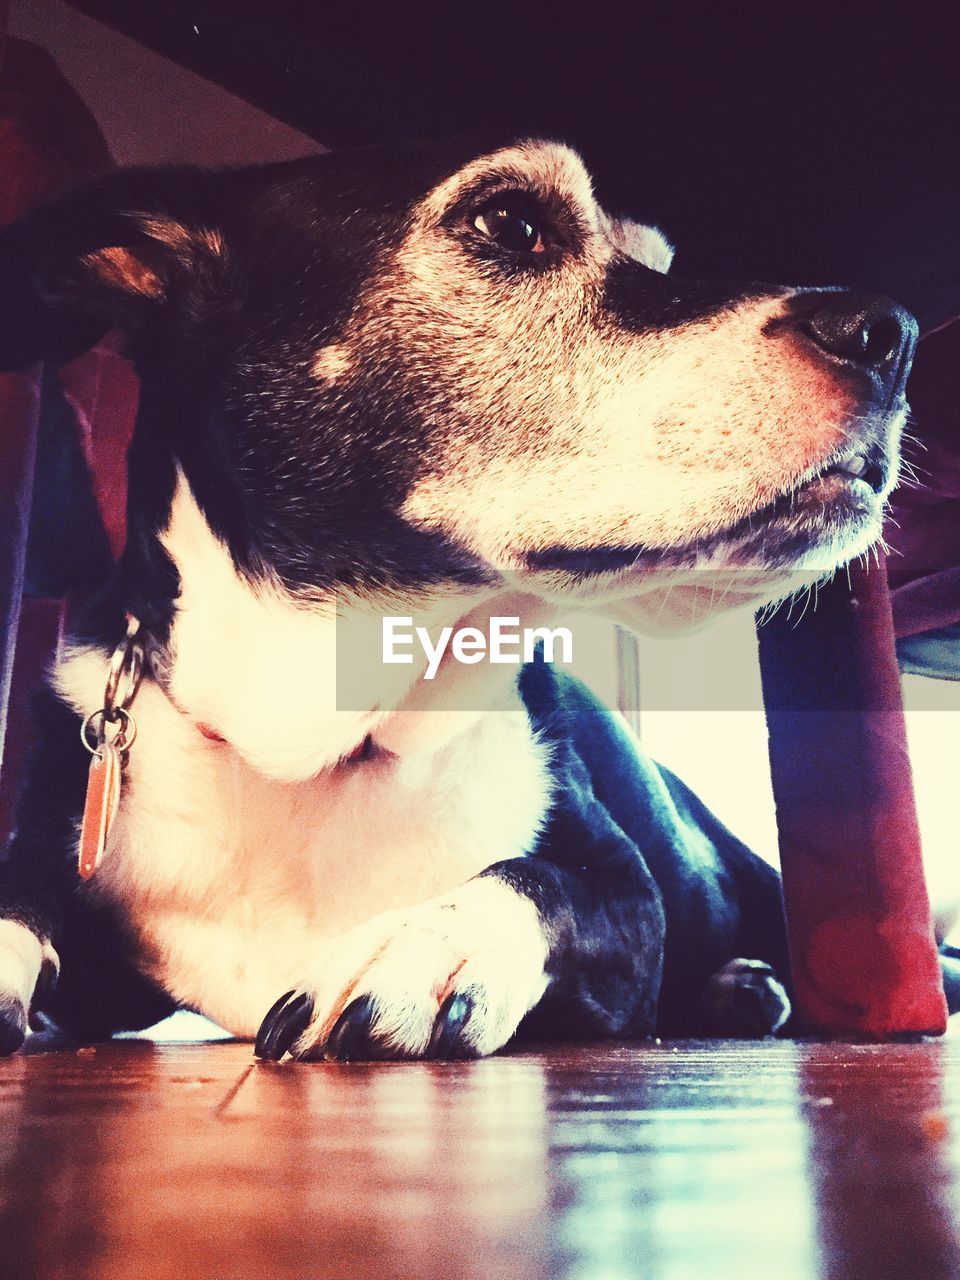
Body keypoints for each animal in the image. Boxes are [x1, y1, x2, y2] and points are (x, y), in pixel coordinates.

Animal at [0, 135, 926, 1064]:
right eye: (511, 224)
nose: (894, 332)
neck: (334, 747)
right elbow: (19, 903)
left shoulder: (628, 903)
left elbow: (540, 877)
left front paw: (427, 942)